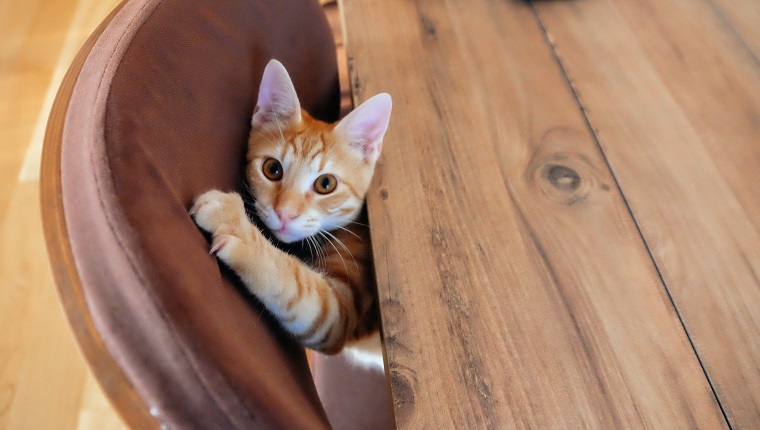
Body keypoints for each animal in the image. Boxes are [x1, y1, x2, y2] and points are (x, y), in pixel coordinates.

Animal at [190, 59, 392, 370]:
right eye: (272, 169)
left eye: (326, 184)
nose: (284, 213)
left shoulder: (337, 316)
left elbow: (297, 284)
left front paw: (236, 225)